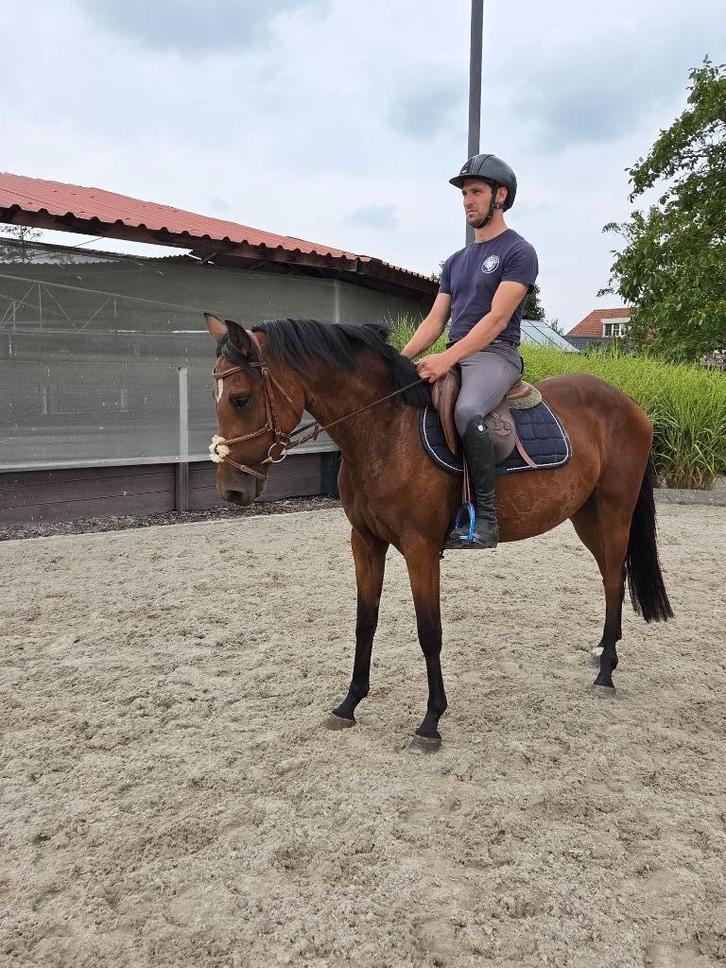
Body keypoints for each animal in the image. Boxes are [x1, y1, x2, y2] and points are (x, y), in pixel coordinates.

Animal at [204, 314, 673, 753]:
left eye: (241, 399)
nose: (232, 489)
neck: (384, 428)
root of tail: (630, 405)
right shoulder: (365, 542)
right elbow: (365, 621)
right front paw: (349, 703)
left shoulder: (421, 548)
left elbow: (429, 632)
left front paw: (430, 722)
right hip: (586, 516)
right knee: (612, 577)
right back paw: (603, 653)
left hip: (613, 513)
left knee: (613, 580)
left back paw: (606, 672)